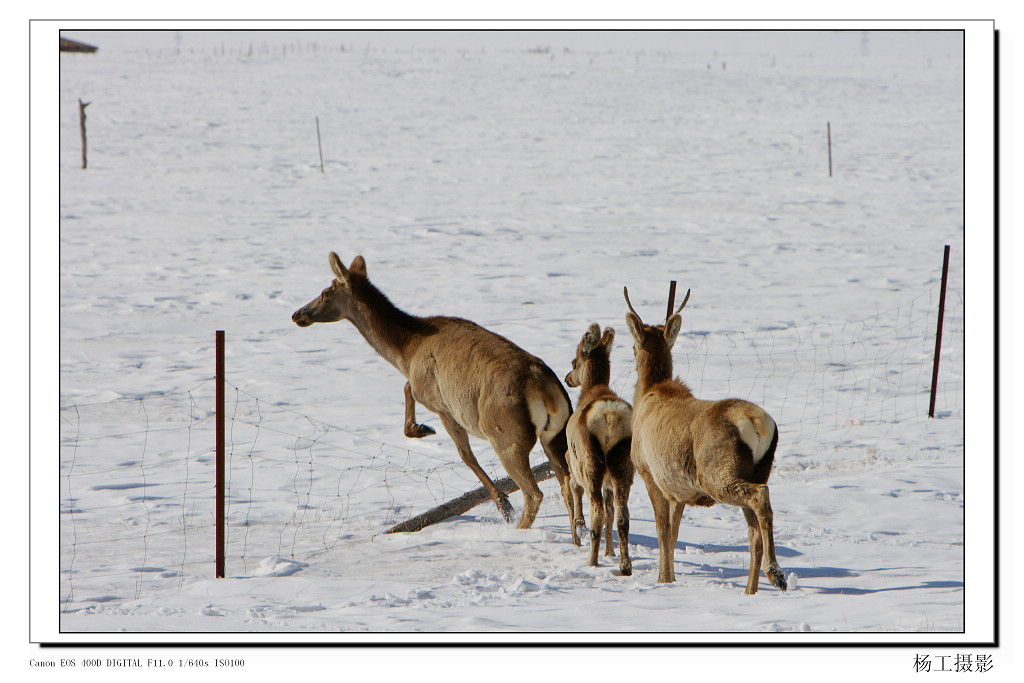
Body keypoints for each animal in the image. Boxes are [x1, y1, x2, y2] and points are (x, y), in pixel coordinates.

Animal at [292, 253, 577, 532]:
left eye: (325, 291)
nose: (297, 314)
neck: (406, 353)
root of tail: (546, 390)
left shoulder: (440, 403)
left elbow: (465, 454)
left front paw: (503, 505)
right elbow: (408, 388)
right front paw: (419, 428)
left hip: (505, 433)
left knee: (534, 493)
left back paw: (517, 528)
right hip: (555, 435)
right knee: (568, 484)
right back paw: (578, 530)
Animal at [561, 325, 630, 577]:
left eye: (574, 361)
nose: (568, 378)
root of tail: (609, 419)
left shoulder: (571, 460)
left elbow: (574, 490)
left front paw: (578, 529)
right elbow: (611, 511)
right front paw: (610, 552)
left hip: (591, 462)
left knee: (597, 511)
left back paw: (591, 561)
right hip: (623, 464)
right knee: (621, 515)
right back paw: (625, 565)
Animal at [618, 286, 786, 593]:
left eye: (633, 346)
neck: (648, 393)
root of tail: (758, 424)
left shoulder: (650, 474)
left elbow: (662, 531)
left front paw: (663, 579)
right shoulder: (678, 489)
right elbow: (673, 533)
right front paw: (669, 578)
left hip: (717, 472)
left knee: (760, 497)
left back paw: (776, 574)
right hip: (759, 468)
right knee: (753, 530)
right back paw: (751, 590)